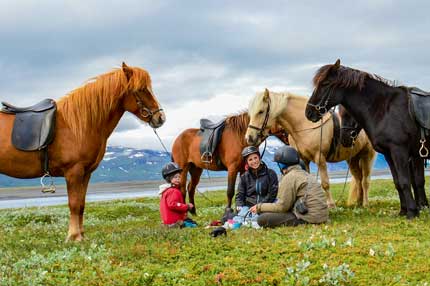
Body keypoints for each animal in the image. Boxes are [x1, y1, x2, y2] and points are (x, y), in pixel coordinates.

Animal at [0, 63, 165, 241]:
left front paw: (81, 235)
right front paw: (73, 236)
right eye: (141, 89)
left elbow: (81, 204)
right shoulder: (74, 171)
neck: (78, 124)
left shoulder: (86, 173)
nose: (160, 118)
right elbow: (73, 204)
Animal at [304, 58, 428, 219]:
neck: (386, 109)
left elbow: (406, 180)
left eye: (325, 83)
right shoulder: (390, 154)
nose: (308, 112)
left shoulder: (400, 151)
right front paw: (404, 210)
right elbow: (398, 182)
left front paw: (412, 211)